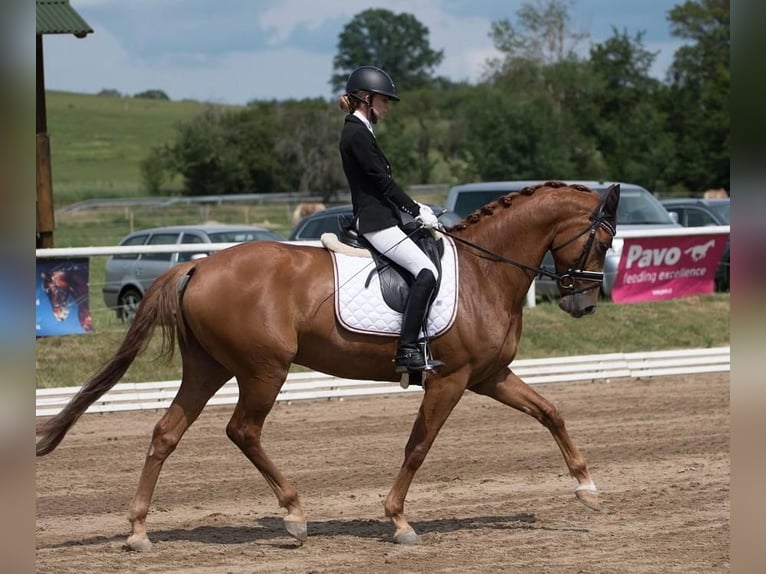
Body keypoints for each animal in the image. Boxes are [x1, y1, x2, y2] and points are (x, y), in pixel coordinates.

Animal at [37, 182, 624, 552]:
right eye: (601, 238)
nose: (583, 305)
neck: (487, 270)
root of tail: (199, 265)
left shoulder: (488, 377)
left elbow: (550, 411)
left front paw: (587, 489)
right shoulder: (451, 380)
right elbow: (419, 445)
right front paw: (399, 521)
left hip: (208, 368)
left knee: (166, 433)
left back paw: (139, 532)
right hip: (263, 370)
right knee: (243, 430)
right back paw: (294, 515)